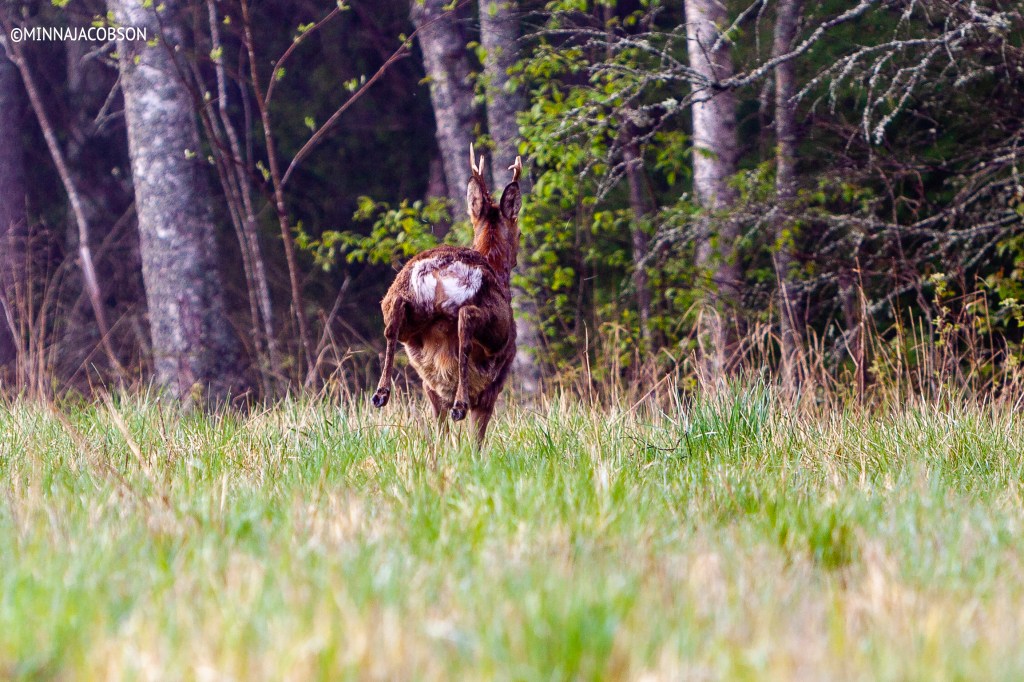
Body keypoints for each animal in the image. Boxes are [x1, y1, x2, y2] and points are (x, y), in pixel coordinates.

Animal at [370, 145, 523, 445]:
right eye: (519, 233)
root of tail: (439, 267)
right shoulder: (494, 386)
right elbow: (477, 441)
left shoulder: (433, 391)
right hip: (493, 327)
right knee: (466, 322)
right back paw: (459, 404)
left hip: (404, 304)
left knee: (393, 318)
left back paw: (381, 393)